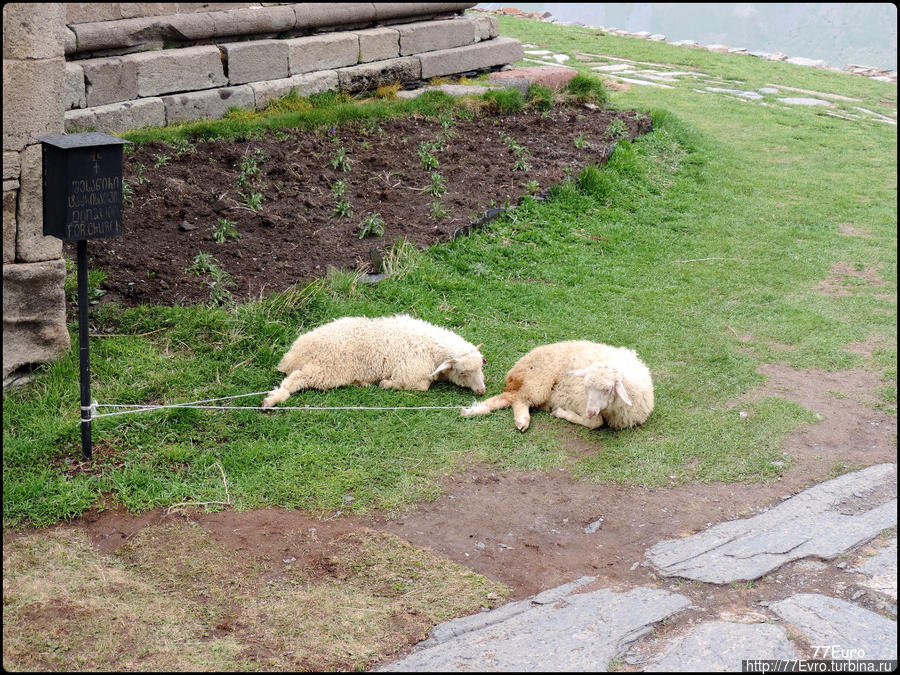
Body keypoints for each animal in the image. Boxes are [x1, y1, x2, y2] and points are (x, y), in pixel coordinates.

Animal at [260, 316, 486, 406]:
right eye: (462, 372)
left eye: (480, 367)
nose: (481, 391)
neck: (432, 348)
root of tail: (298, 351)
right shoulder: (411, 372)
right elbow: (421, 386)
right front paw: (387, 384)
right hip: (328, 369)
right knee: (296, 379)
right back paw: (273, 399)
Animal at [460, 340, 652, 430]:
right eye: (585, 386)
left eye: (607, 389)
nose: (590, 411)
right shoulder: (582, 401)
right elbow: (595, 423)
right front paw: (561, 413)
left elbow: (595, 422)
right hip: (539, 378)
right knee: (521, 399)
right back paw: (522, 420)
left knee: (511, 398)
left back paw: (474, 410)